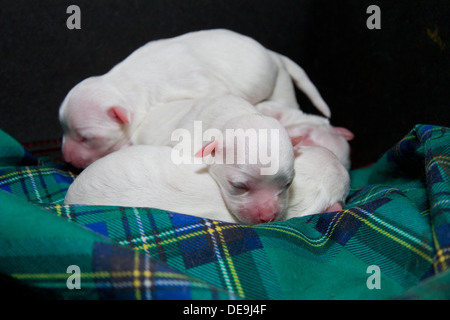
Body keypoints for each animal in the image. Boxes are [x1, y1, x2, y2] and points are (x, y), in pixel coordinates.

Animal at [58, 29, 328, 169]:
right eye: (64, 130)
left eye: (85, 138)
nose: (66, 158)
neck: (124, 86)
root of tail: (275, 55)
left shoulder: (199, 88)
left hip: (280, 87)